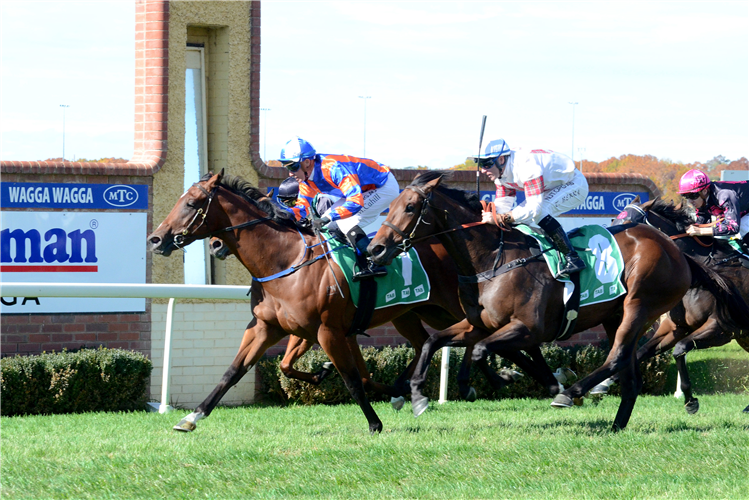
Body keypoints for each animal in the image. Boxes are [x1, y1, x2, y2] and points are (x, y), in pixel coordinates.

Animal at [146, 170, 524, 432]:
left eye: (191, 204)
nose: (156, 239)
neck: (284, 262)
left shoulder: (327, 330)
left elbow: (353, 379)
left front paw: (374, 423)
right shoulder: (269, 327)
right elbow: (235, 371)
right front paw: (192, 417)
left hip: (452, 307)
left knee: (486, 333)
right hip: (416, 311)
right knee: (428, 343)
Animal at [592, 197, 748, 412]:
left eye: (629, 224)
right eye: (615, 219)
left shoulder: (722, 328)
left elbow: (680, 348)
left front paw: (690, 400)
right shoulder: (676, 327)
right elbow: (642, 351)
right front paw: (603, 384)